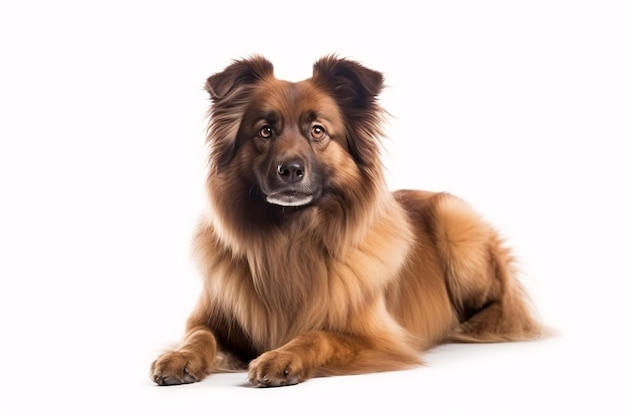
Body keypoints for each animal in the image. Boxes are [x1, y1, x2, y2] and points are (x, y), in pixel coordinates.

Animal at [150, 55, 540, 386]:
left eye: (318, 130)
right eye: (265, 131)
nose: (290, 170)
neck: (291, 237)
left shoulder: (378, 340)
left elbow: (318, 335)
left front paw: (282, 357)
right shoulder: (209, 319)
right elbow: (198, 335)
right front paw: (179, 356)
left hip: (456, 223)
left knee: (507, 305)